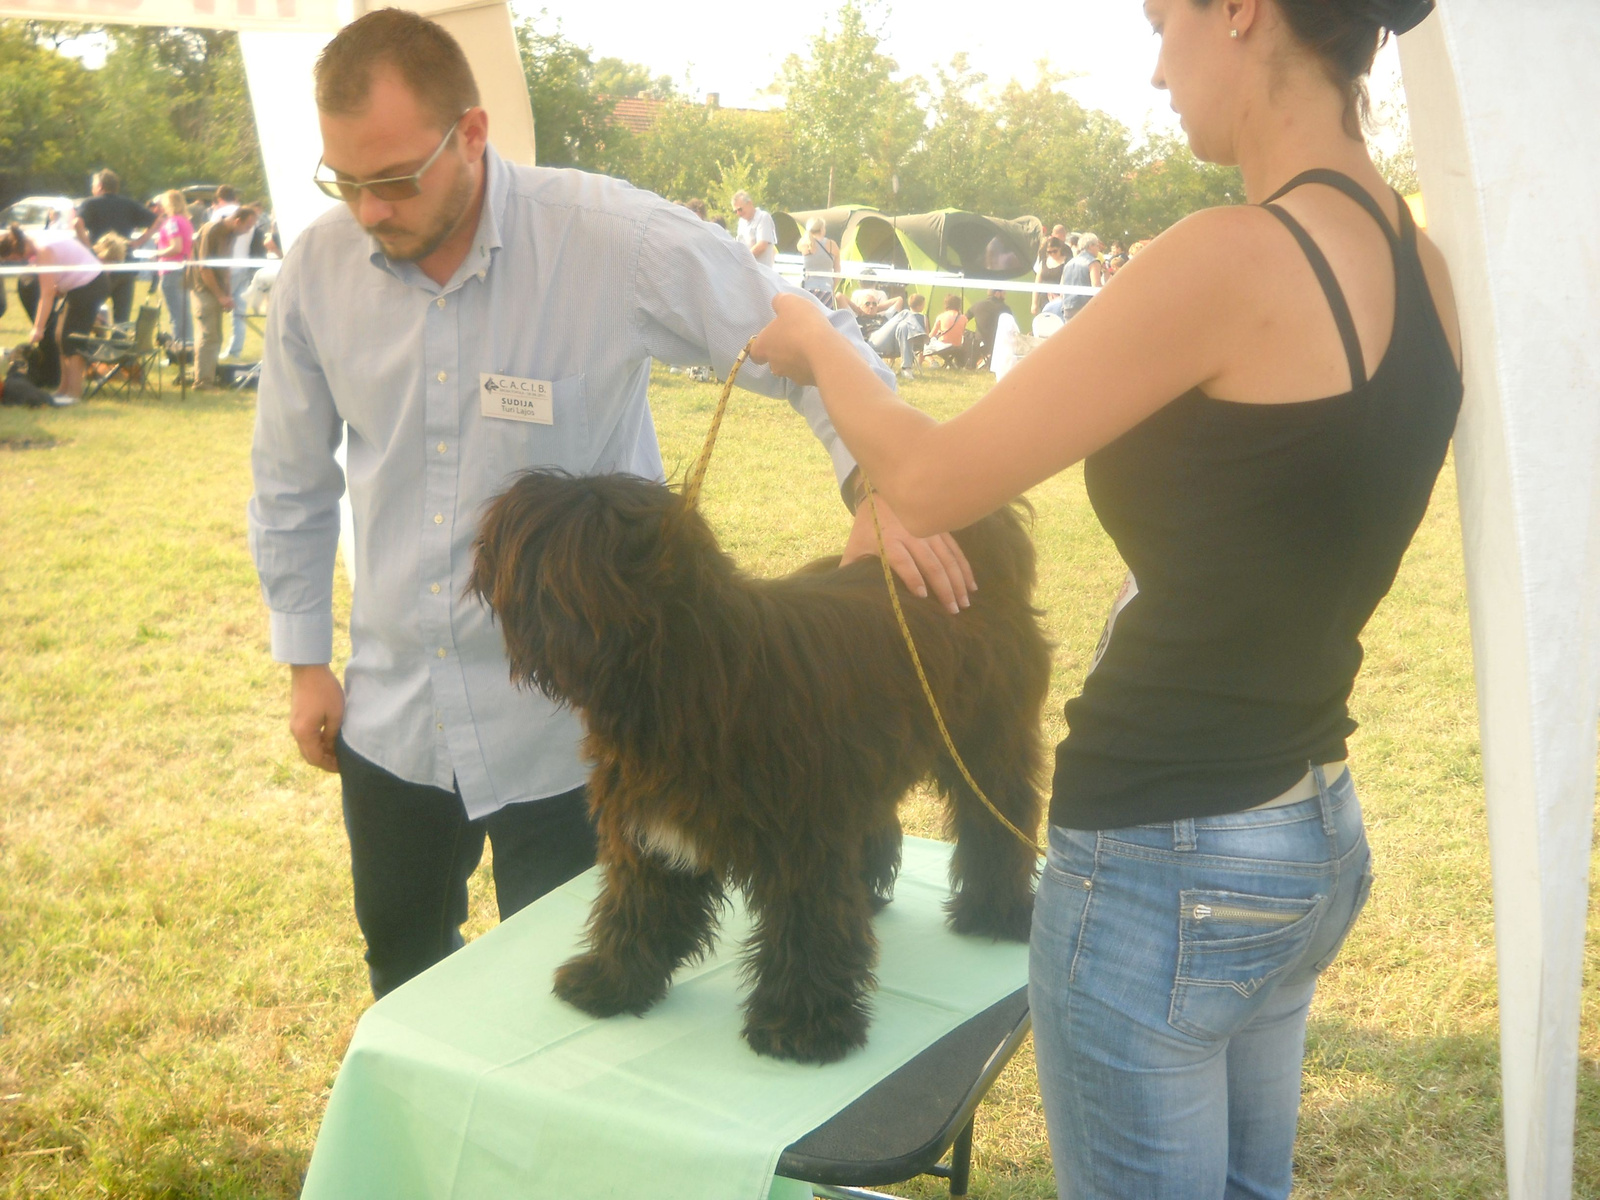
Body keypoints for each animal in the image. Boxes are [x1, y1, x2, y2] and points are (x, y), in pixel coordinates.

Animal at [470, 473, 1049, 1068]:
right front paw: (611, 981)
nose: (485, 537)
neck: (689, 674)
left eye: (560, 533)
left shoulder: (801, 840)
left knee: (1000, 817)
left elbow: (806, 928)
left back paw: (995, 912)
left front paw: (802, 1024)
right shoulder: (648, 831)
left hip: (986, 743)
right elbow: (637, 905)